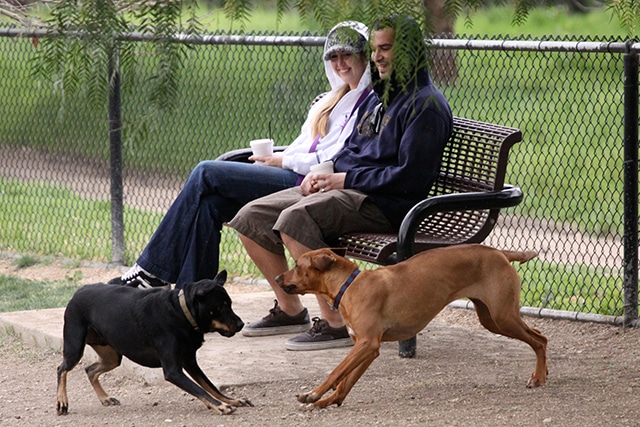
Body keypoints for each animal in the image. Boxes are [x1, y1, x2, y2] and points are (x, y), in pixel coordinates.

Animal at [56, 272, 252, 416]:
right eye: (220, 307)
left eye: (230, 304)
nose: (241, 324)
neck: (181, 312)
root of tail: (79, 290)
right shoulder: (173, 371)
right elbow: (200, 390)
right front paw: (220, 406)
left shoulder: (190, 361)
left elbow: (209, 386)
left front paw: (231, 400)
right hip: (75, 346)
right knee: (62, 369)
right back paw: (62, 402)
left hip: (112, 356)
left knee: (90, 370)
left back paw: (105, 398)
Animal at [276, 244, 544, 412]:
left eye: (297, 265)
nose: (278, 278)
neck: (349, 286)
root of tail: (499, 252)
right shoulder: (368, 349)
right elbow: (345, 381)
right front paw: (327, 401)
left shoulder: (366, 343)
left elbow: (336, 372)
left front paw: (313, 394)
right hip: (491, 318)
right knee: (540, 335)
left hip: (503, 316)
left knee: (540, 340)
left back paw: (538, 378)